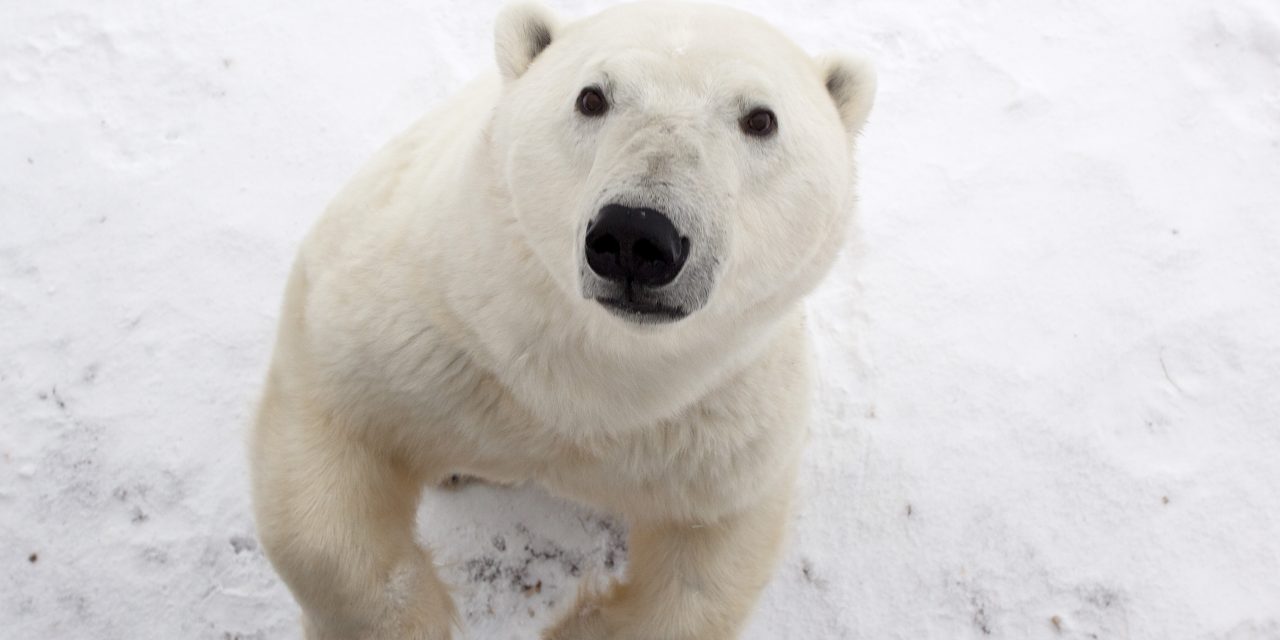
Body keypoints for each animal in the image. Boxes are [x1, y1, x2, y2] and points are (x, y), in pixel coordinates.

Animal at [249, 2, 875, 638]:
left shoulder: (714, 429)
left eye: (761, 119)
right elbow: (329, 453)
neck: (580, 379)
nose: (635, 236)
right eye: (592, 97)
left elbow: (706, 564)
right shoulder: (422, 325)